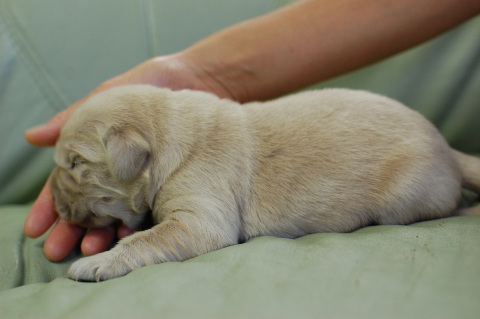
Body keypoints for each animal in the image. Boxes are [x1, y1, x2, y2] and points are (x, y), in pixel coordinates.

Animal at [49, 85, 480, 282]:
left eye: (76, 163)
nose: (53, 204)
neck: (168, 131)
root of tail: (446, 147)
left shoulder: (201, 216)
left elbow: (146, 239)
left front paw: (97, 262)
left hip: (405, 196)